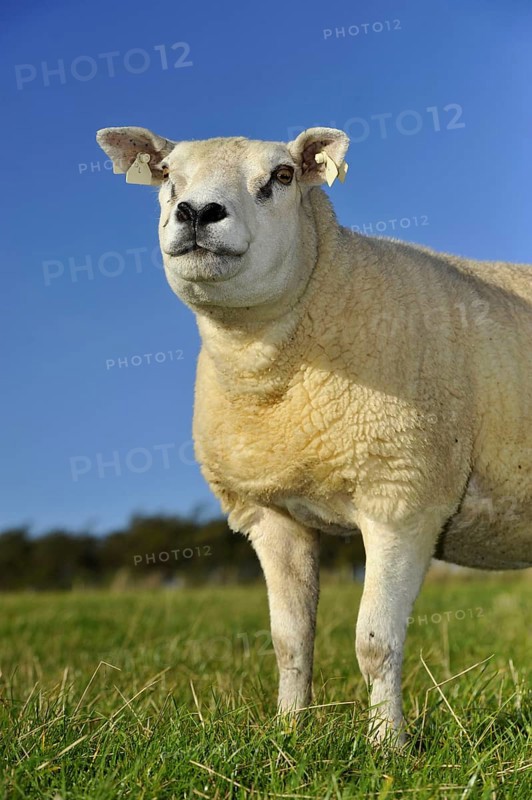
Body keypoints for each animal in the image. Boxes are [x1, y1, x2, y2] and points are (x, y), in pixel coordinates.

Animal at [96, 125, 532, 744]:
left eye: (282, 176)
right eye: (166, 176)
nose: (197, 212)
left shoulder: (402, 498)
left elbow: (375, 643)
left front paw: (388, 745)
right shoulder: (274, 514)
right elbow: (289, 640)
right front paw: (288, 732)